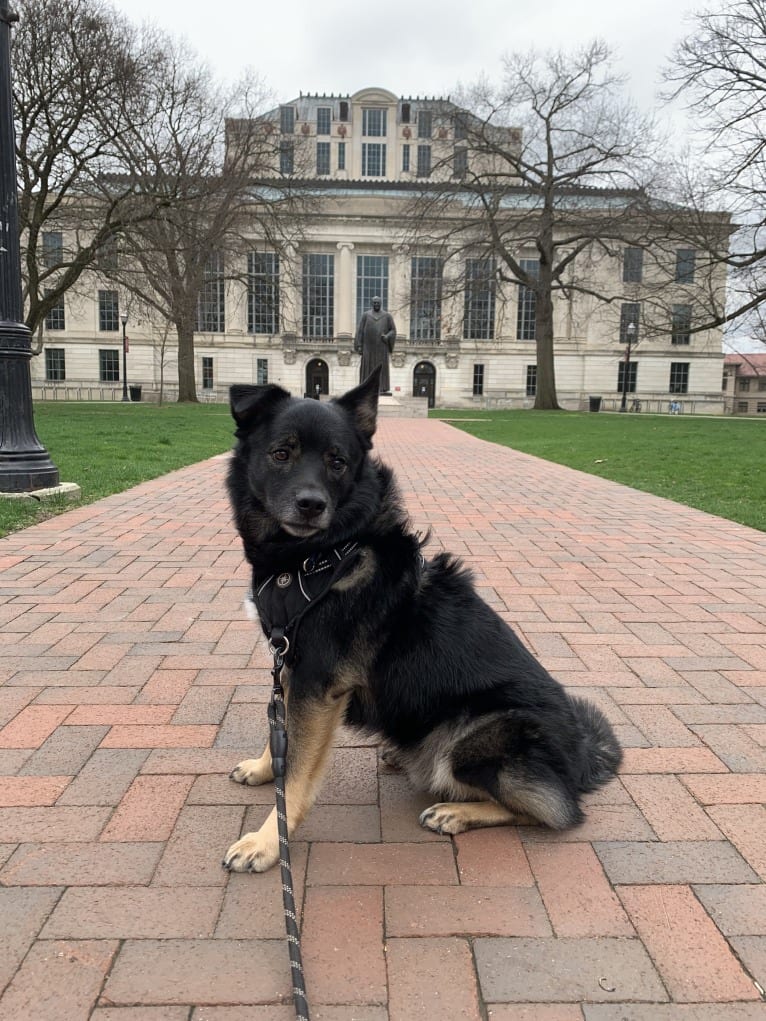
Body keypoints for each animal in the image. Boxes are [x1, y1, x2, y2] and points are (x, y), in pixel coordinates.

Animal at [221, 371, 625, 873]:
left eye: (337, 462)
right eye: (281, 453)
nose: (311, 504)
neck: (323, 555)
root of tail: (583, 756)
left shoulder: (317, 682)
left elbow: (295, 770)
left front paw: (267, 842)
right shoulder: (292, 666)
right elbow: (279, 734)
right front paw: (264, 768)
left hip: (477, 736)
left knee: (557, 810)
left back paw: (456, 811)